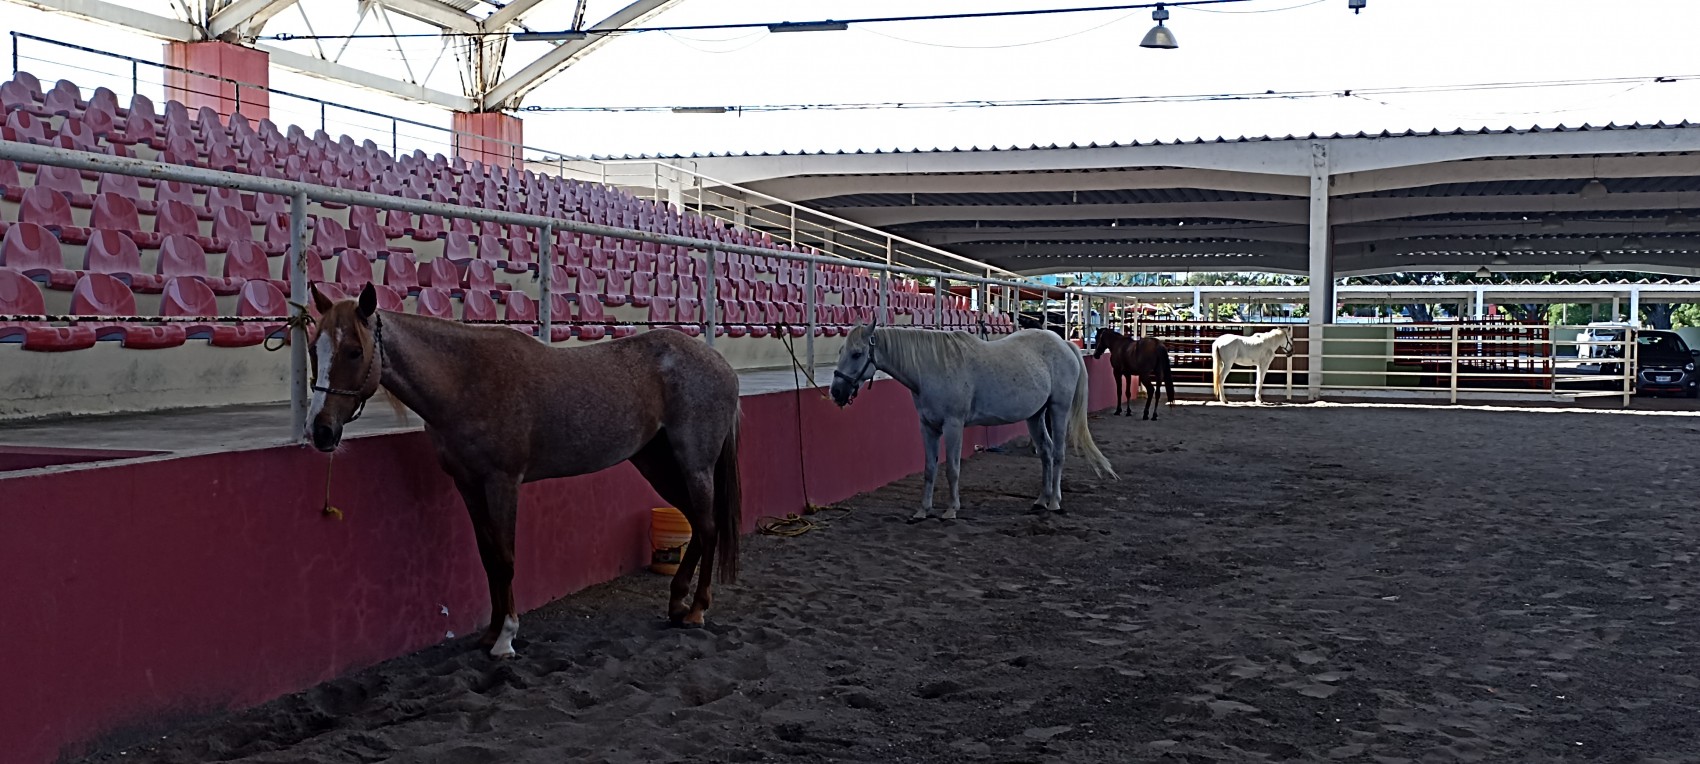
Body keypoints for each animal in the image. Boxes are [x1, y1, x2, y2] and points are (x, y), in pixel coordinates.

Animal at [306, 283, 743, 659]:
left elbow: (505, 558)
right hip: (656, 463)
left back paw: (696, 610)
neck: (465, 380)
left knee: (708, 526)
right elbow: (488, 557)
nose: (320, 430)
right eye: (313, 348)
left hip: (695, 464)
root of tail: (722, 365)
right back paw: (677, 602)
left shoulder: (503, 483)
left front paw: (506, 639)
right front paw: (490, 633)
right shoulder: (468, 484)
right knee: (697, 523)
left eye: (353, 351)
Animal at [828, 323, 1117, 520]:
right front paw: (923, 510)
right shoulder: (927, 427)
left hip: (1058, 409)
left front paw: (951, 510)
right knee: (1045, 452)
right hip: (1035, 415)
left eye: (856, 354)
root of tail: (1065, 343)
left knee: (1057, 454)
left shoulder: (953, 426)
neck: (931, 367)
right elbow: (929, 469)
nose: (836, 392)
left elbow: (952, 469)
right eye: (841, 351)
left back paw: (1055, 501)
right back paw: (1040, 500)